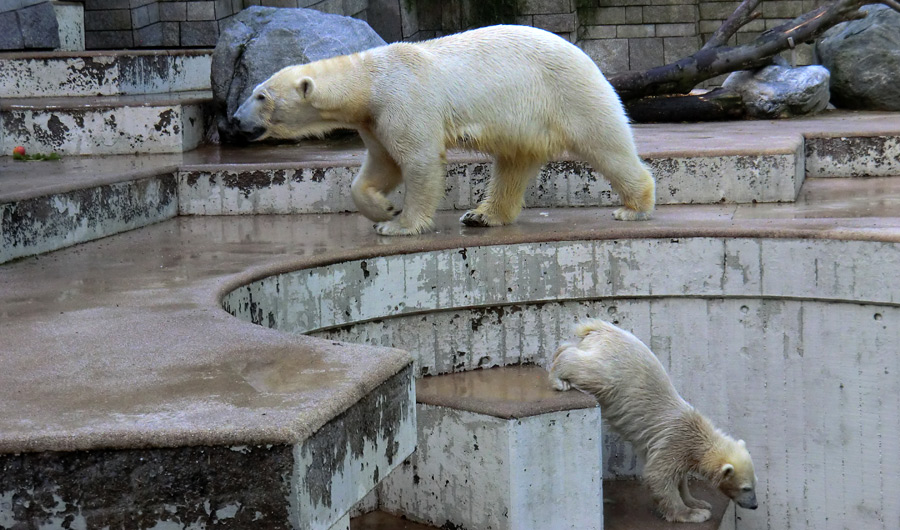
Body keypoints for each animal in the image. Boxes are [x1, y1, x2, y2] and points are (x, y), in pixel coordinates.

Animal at [232, 24, 652, 235]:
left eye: (261, 96)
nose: (234, 120)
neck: (371, 78)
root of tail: (585, 55)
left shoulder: (402, 100)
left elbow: (417, 160)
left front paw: (398, 224)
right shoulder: (374, 119)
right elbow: (381, 165)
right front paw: (382, 207)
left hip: (567, 92)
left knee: (605, 143)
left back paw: (634, 208)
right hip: (525, 121)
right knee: (513, 163)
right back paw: (481, 215)